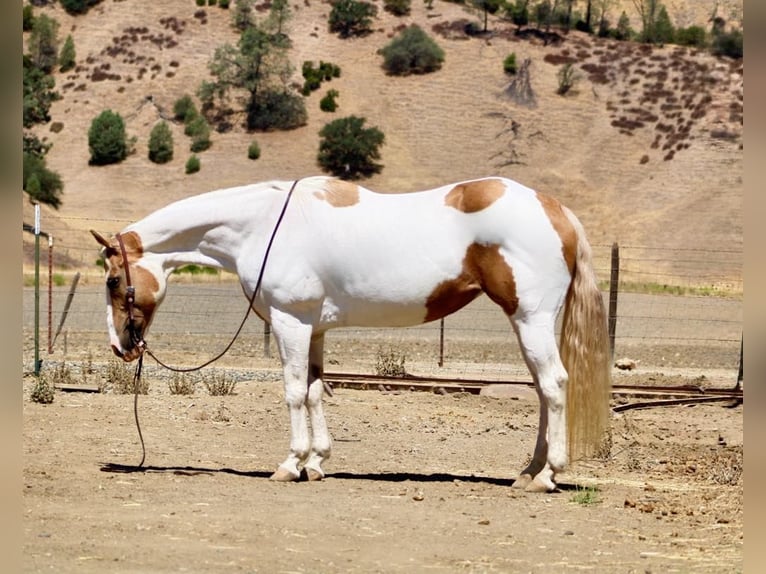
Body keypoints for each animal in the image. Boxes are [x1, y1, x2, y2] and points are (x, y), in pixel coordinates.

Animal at [91, 175, 611, 492]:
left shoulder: (291, 322)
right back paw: (529, 471)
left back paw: (548, 475)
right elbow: (315, 390)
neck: (262, 225)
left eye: (113, 280)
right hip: (527, 324)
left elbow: (293, 392)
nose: (120, 346)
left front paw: (291, 463)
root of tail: (556, 209)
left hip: (531, 318)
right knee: (543, 391)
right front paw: (317, 463)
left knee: (554, 386)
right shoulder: (314, 328)